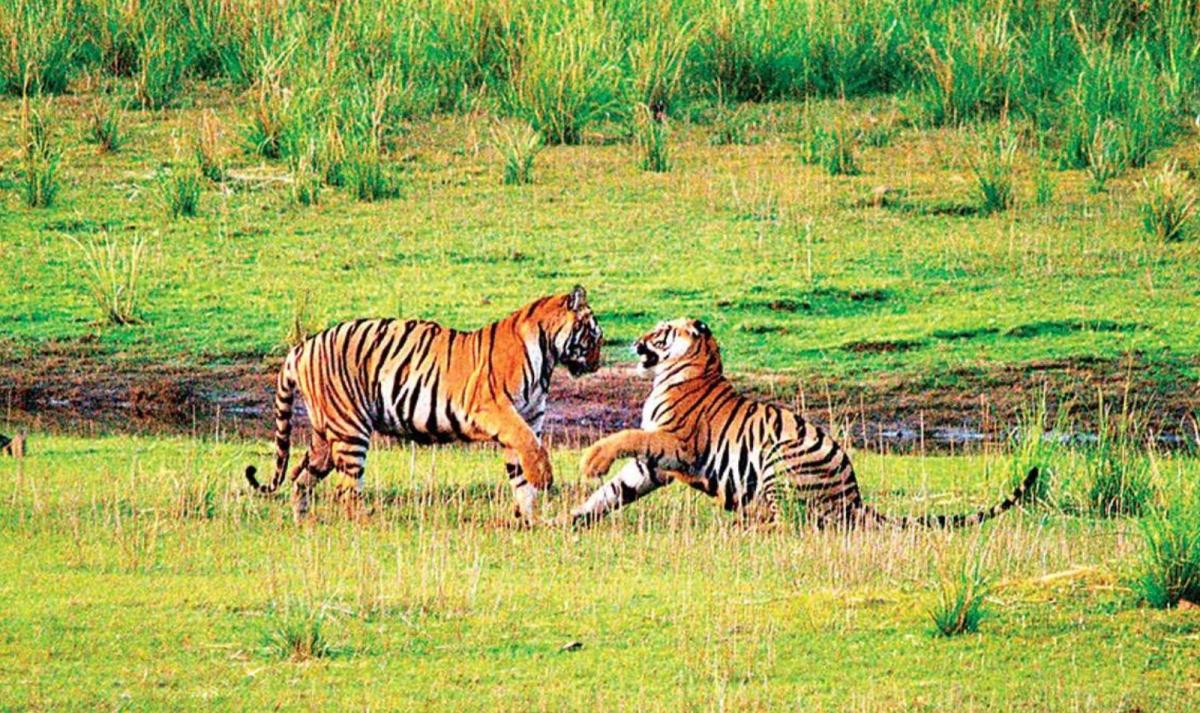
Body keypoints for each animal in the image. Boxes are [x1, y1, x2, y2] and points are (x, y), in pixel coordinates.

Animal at [245, 286, 602, 522]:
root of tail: (301, 348)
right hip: (350, 430)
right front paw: (544, 479)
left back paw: (303, 520)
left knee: (300, 476)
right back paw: (366, 522)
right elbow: (532, 448)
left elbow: (520, 473)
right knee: (345, 490)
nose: (598, 363)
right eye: (594, 337)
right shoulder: (497, 411)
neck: (547, 357)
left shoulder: (527, 418)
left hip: (325, 436)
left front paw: (529, 519)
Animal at [573, 318, 1038, 529]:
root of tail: (855, 496)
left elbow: (626, 436)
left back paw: (746, 527)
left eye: (662, 331)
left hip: (779, 456)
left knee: (789, 522)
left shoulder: (676, 443)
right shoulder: (655, 464)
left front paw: (591, 461)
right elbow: (615, 490)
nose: (636, 342)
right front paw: (573, 519)